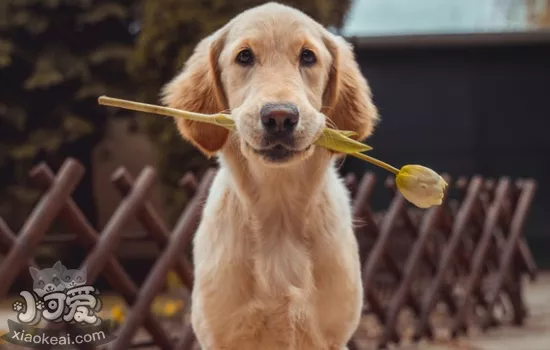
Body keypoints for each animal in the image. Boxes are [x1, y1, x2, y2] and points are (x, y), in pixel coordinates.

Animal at [163, 3, 380, 350]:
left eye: (308, 57)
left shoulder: (333, 336)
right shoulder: (219, 335)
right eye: (244, 57)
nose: (280, 117)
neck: (279, 213)